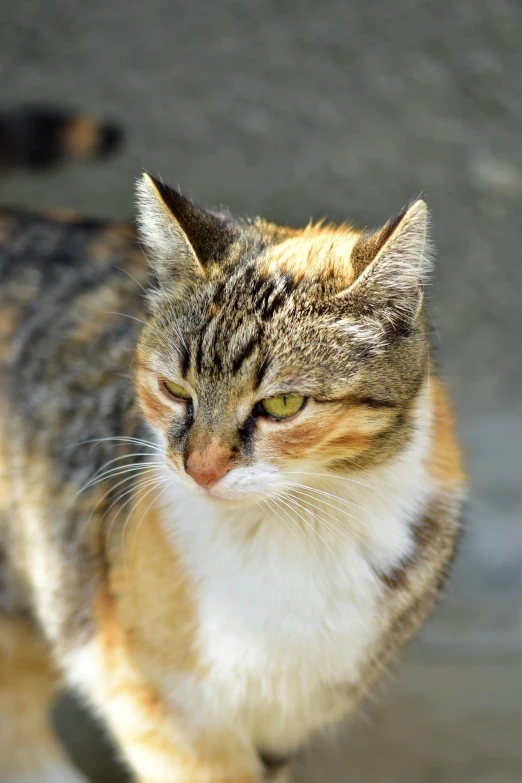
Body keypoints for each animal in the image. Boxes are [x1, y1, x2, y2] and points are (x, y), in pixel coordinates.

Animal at [0, 115, 464, 776]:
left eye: (282, 405)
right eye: (174, 390)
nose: (200, 466)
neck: (293, 531)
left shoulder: (289, 718)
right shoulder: (161, 706)